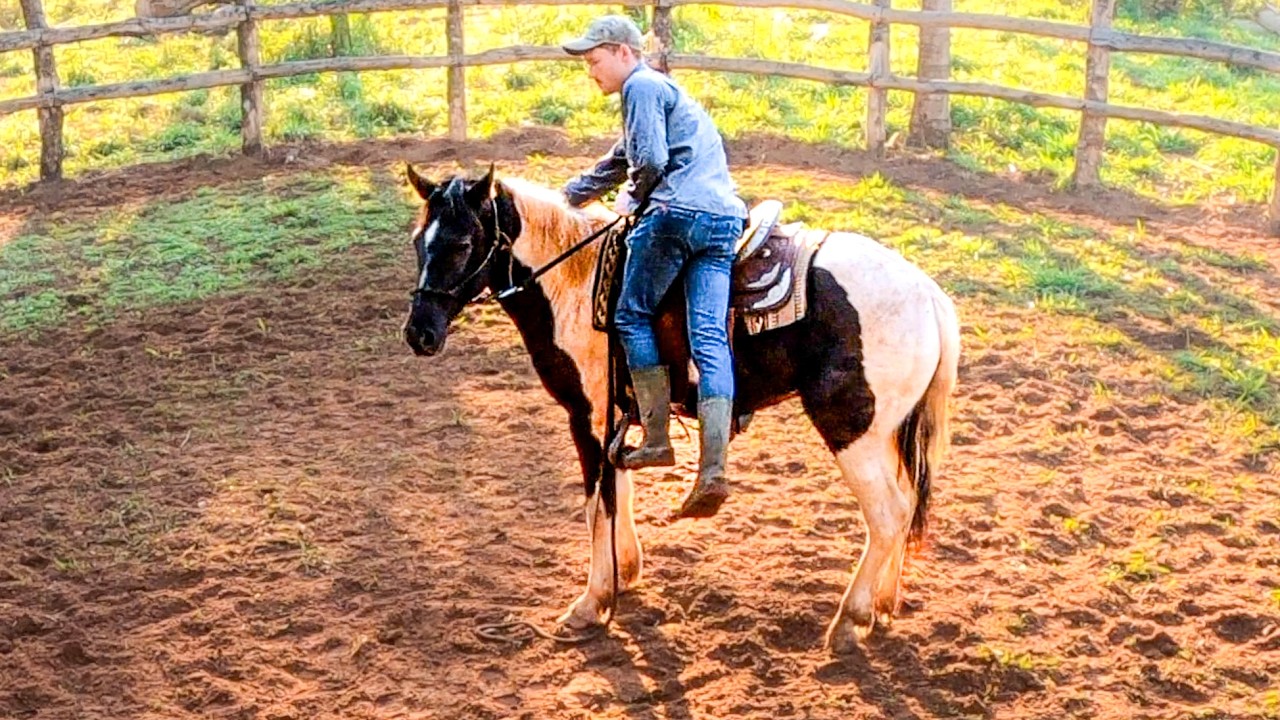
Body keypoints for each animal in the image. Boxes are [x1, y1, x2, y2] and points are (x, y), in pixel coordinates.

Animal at [400, 164, 961, 653]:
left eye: (462, 244)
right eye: (418, 241)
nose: (419, 333)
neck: (578, 284)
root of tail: (928, 294)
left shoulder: (587, 415)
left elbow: (598, 502)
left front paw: (591, 603)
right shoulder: (616, 417)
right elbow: (619, 489)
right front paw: (624, 571)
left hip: (851, 428)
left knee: (887, 516)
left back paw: (850, 621)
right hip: (884, 431)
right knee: (907, 506)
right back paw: (882, 606)